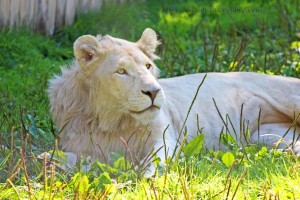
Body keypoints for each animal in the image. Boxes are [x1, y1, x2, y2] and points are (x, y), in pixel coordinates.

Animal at [49, 27, 300, 172]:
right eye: (121, 71)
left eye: (148, 66)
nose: (153, 92)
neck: (111, 121)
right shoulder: (87, 148)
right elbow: (65, 158)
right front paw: (50, 165)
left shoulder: (163, 138)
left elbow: (155, 164)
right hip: (264, 138)